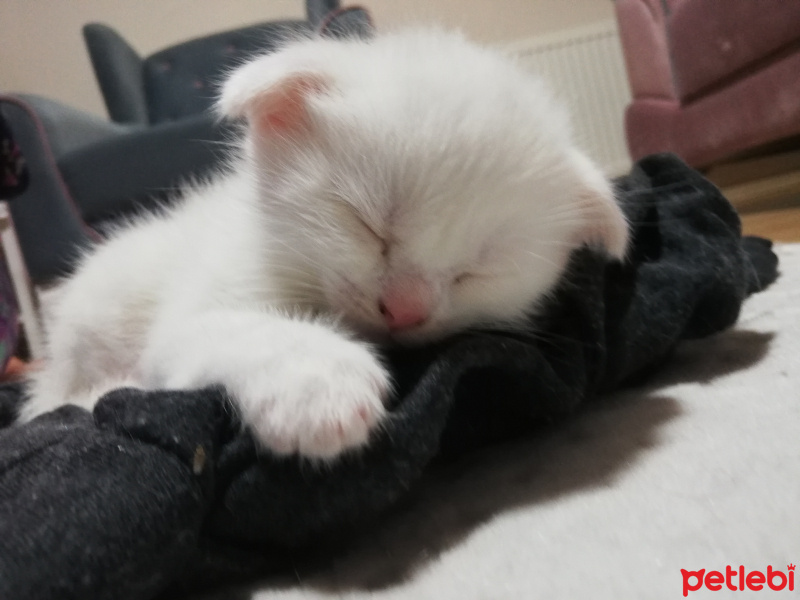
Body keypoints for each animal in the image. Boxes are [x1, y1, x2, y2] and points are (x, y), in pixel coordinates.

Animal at [21, 28, 628, 460]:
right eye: (368, 224)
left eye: (479, 269)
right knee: (55, 400)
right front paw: (317, 382)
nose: (405, 310)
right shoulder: (190, 314)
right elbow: (232, 331)